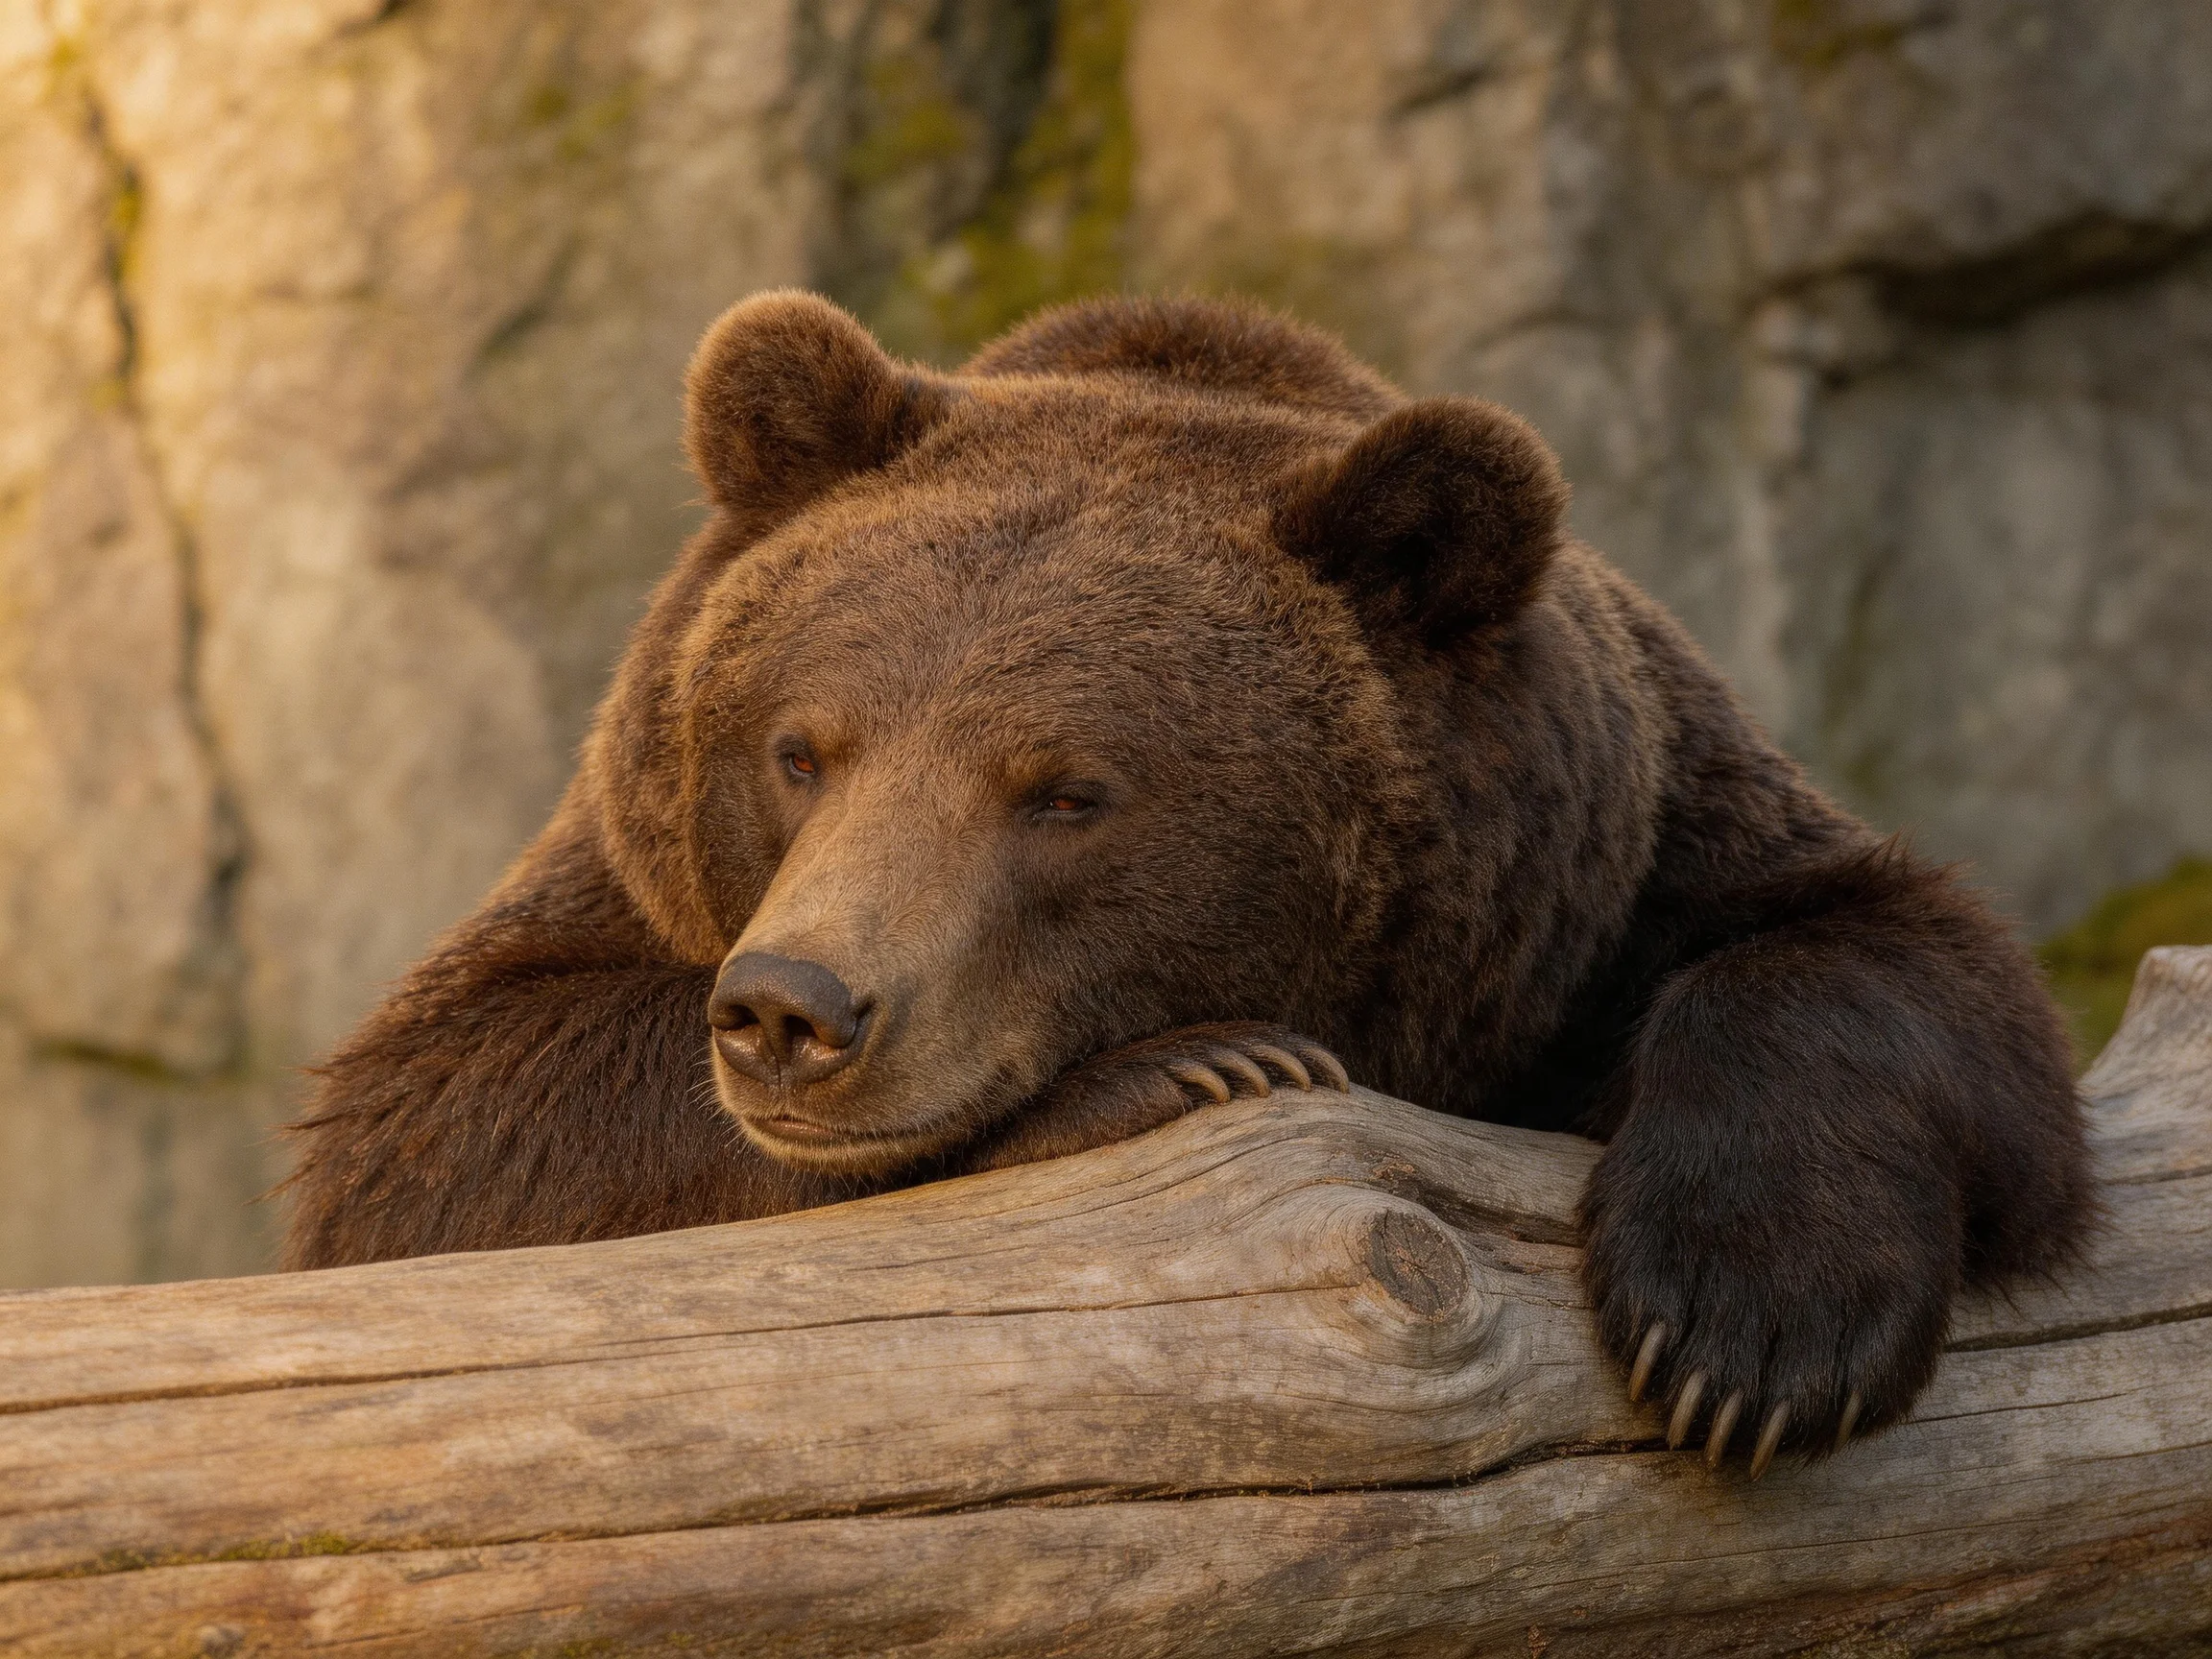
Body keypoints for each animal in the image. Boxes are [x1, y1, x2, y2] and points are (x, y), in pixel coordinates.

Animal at [283, 290, 2091, 1475]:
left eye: (1065, 792)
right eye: (800, 747)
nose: (795, 1012)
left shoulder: (1616, 870)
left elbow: (1903, 958)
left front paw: (1747, 1329)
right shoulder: (611, 888)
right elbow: (434, 1126)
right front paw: (1188, 1068)